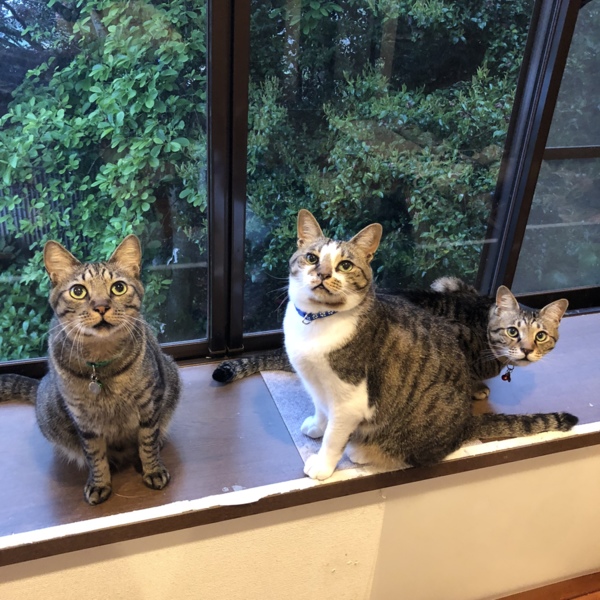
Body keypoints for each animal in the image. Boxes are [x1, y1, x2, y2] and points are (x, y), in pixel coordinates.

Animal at [0, 235, 181, 505]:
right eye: (78, 291)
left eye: (118, 288)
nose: (101, 306)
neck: (101, 362)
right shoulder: (83, 420)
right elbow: (95, 455)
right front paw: (100, 482)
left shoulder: (149, 403)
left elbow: (147, 441)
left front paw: (153, 469)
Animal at [272, 209, 577, 480]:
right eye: (311, 258)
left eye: (344, 265)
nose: (323, 274)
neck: (316, 321)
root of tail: (465, 422)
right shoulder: (315, 383)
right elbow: (320, 408)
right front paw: (316, 425)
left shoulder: (349, 399)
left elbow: (334, 437)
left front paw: (323, 464)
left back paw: (363, 452)